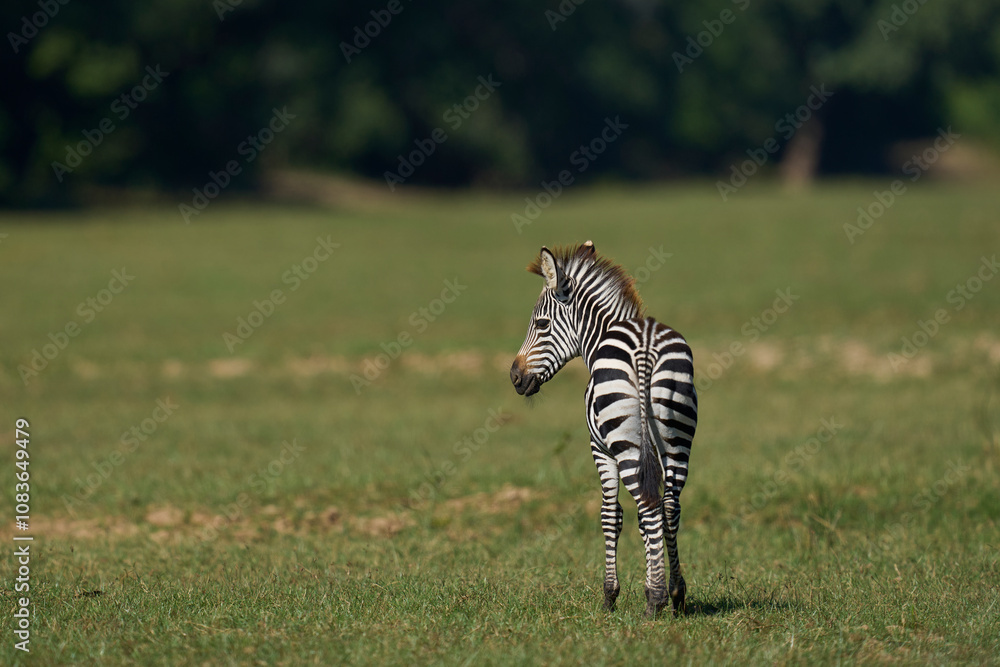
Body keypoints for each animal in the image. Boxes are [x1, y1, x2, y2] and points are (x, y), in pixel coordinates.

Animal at [509, 241, 698, 618]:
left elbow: (611, 515)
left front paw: (611, 594)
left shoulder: (599, 448)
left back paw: (654, 600)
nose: (514, 377)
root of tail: (645, 343)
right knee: (668, 506)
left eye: (541, 323)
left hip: (624, 444)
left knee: (648, 506)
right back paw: (675, 594)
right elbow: (645, 518)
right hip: (677, 439)